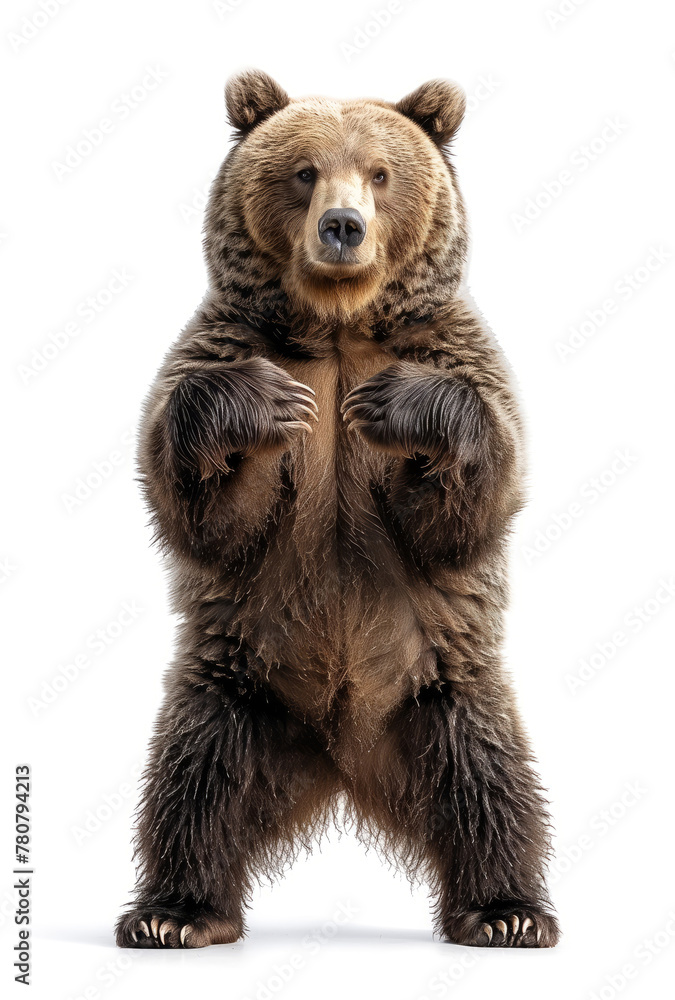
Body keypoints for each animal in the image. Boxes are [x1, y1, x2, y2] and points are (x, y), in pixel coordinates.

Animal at [115, 70, 560, 950]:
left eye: (381, 173)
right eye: (303, 171)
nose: (343, 225)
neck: (336, 328)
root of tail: (339, 765)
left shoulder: (449, 349)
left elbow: (467, 508)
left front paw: (396, 406)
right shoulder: (225, 341)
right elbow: (206, 510)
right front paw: (261, 405)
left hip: (443, 690)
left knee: (490, 784)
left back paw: (506, 911)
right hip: (233, 688)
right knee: (194, 783)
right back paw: (175, 912)